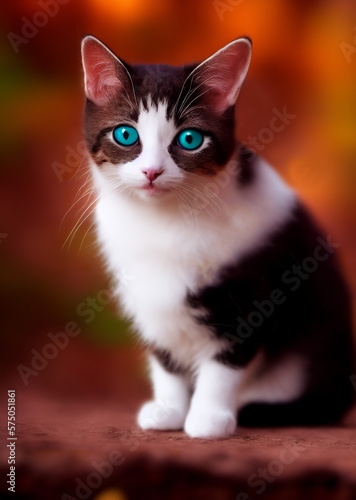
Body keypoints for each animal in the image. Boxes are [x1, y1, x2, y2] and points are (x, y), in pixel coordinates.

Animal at [80, 36, 354, 438]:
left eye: (190, 139)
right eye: (126, 135)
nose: (151, 171)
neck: (164, 220)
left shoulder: (254, 287)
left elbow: (227, 359)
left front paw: (208, 416)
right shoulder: (143, 286)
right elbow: (165, 352)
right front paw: (169, 409)